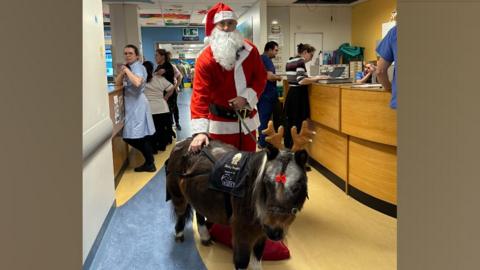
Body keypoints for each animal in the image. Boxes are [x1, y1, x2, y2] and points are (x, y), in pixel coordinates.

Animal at [166, 123, 312, 270]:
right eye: (266, 182)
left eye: (296, 187)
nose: (274, 232)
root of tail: (182, 142)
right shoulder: (242, 231)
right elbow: (242, 261)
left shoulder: (261, 233)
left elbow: (257, 257)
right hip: (177, 192)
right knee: (181, 212)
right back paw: (179, 234)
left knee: (199, 212)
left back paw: (205, 237)